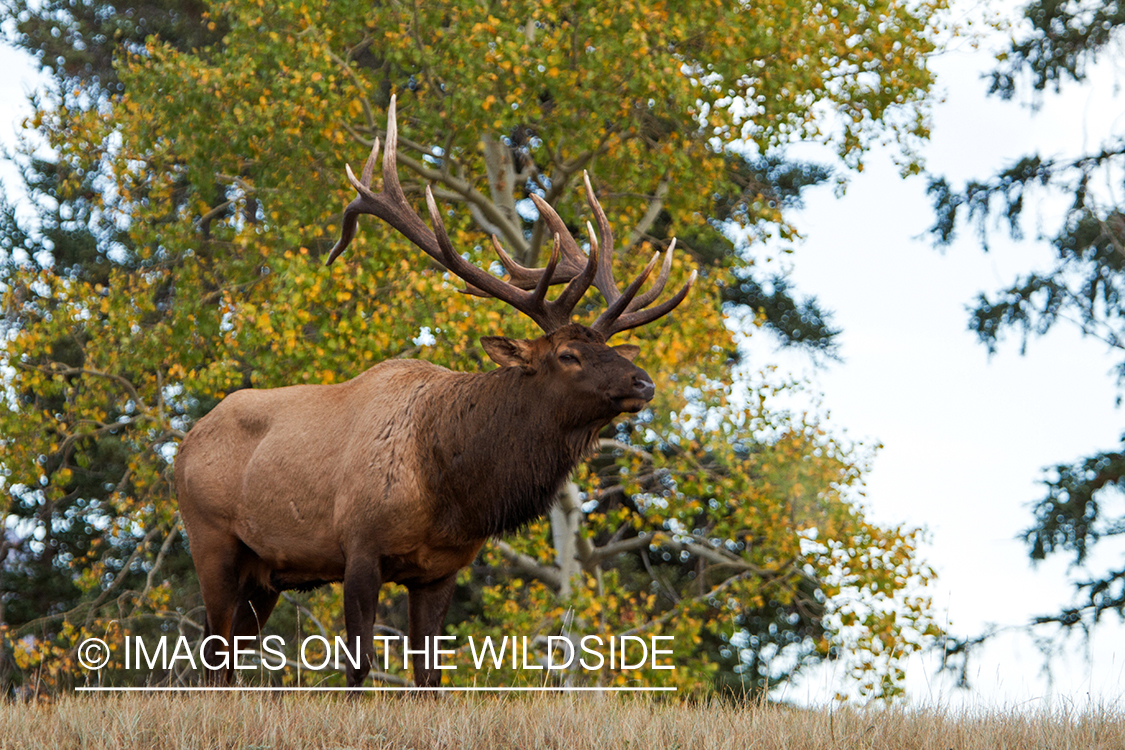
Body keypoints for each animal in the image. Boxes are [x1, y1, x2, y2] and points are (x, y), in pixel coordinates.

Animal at [174, 96, 693, 688]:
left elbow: (429, 678)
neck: (449, 489)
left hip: (267, 571)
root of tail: (183, 445)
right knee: (212, 654)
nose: (643, 381)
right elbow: (359, 667)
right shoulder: (359, 547)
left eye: (611, 350)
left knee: (228, 658)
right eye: (567, 355)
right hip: (211, 540)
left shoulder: (440, 569)